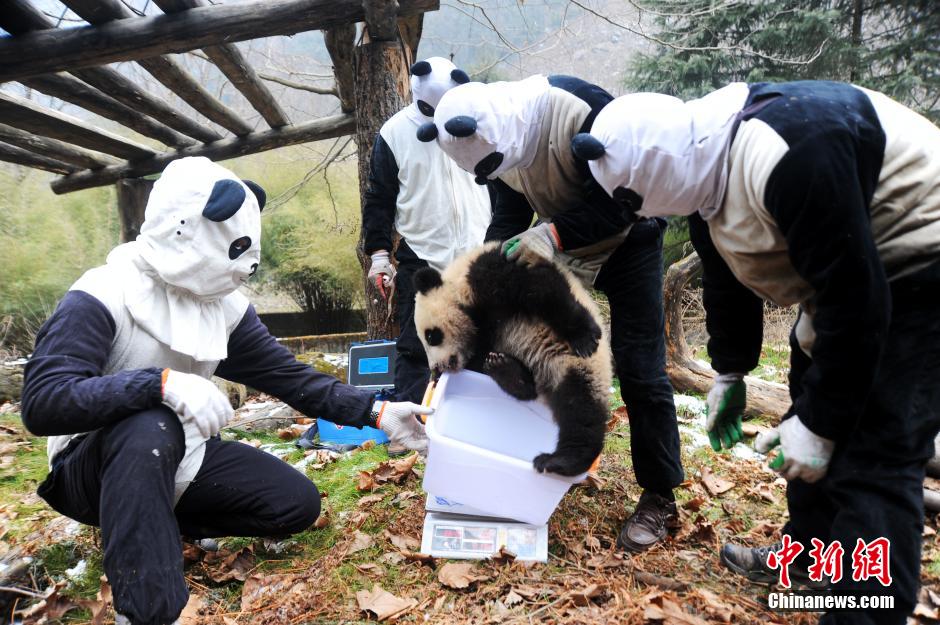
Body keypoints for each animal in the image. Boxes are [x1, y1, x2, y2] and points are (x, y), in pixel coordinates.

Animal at [413, 243, 613, 477]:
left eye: (431, 336)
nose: (436, 369)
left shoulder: (492, 269)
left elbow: (541, 290)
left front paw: (586, 336)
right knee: (537, 394)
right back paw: (507, 371)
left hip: (579, 365)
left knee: (581, 410)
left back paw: (562, 461)